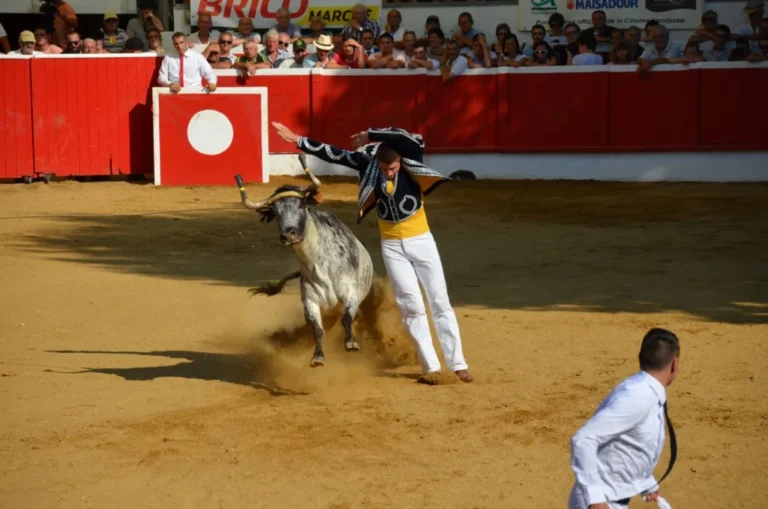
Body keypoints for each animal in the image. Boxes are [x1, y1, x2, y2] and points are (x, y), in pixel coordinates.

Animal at [236, 153, 376, 368]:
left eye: (301, 205)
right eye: (275, 211)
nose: (289, 234)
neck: (320, 265)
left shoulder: (351, 292)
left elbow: (346, 318)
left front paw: (351, 343)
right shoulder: (310, 301)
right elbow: (317, 330)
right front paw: (317, 356)